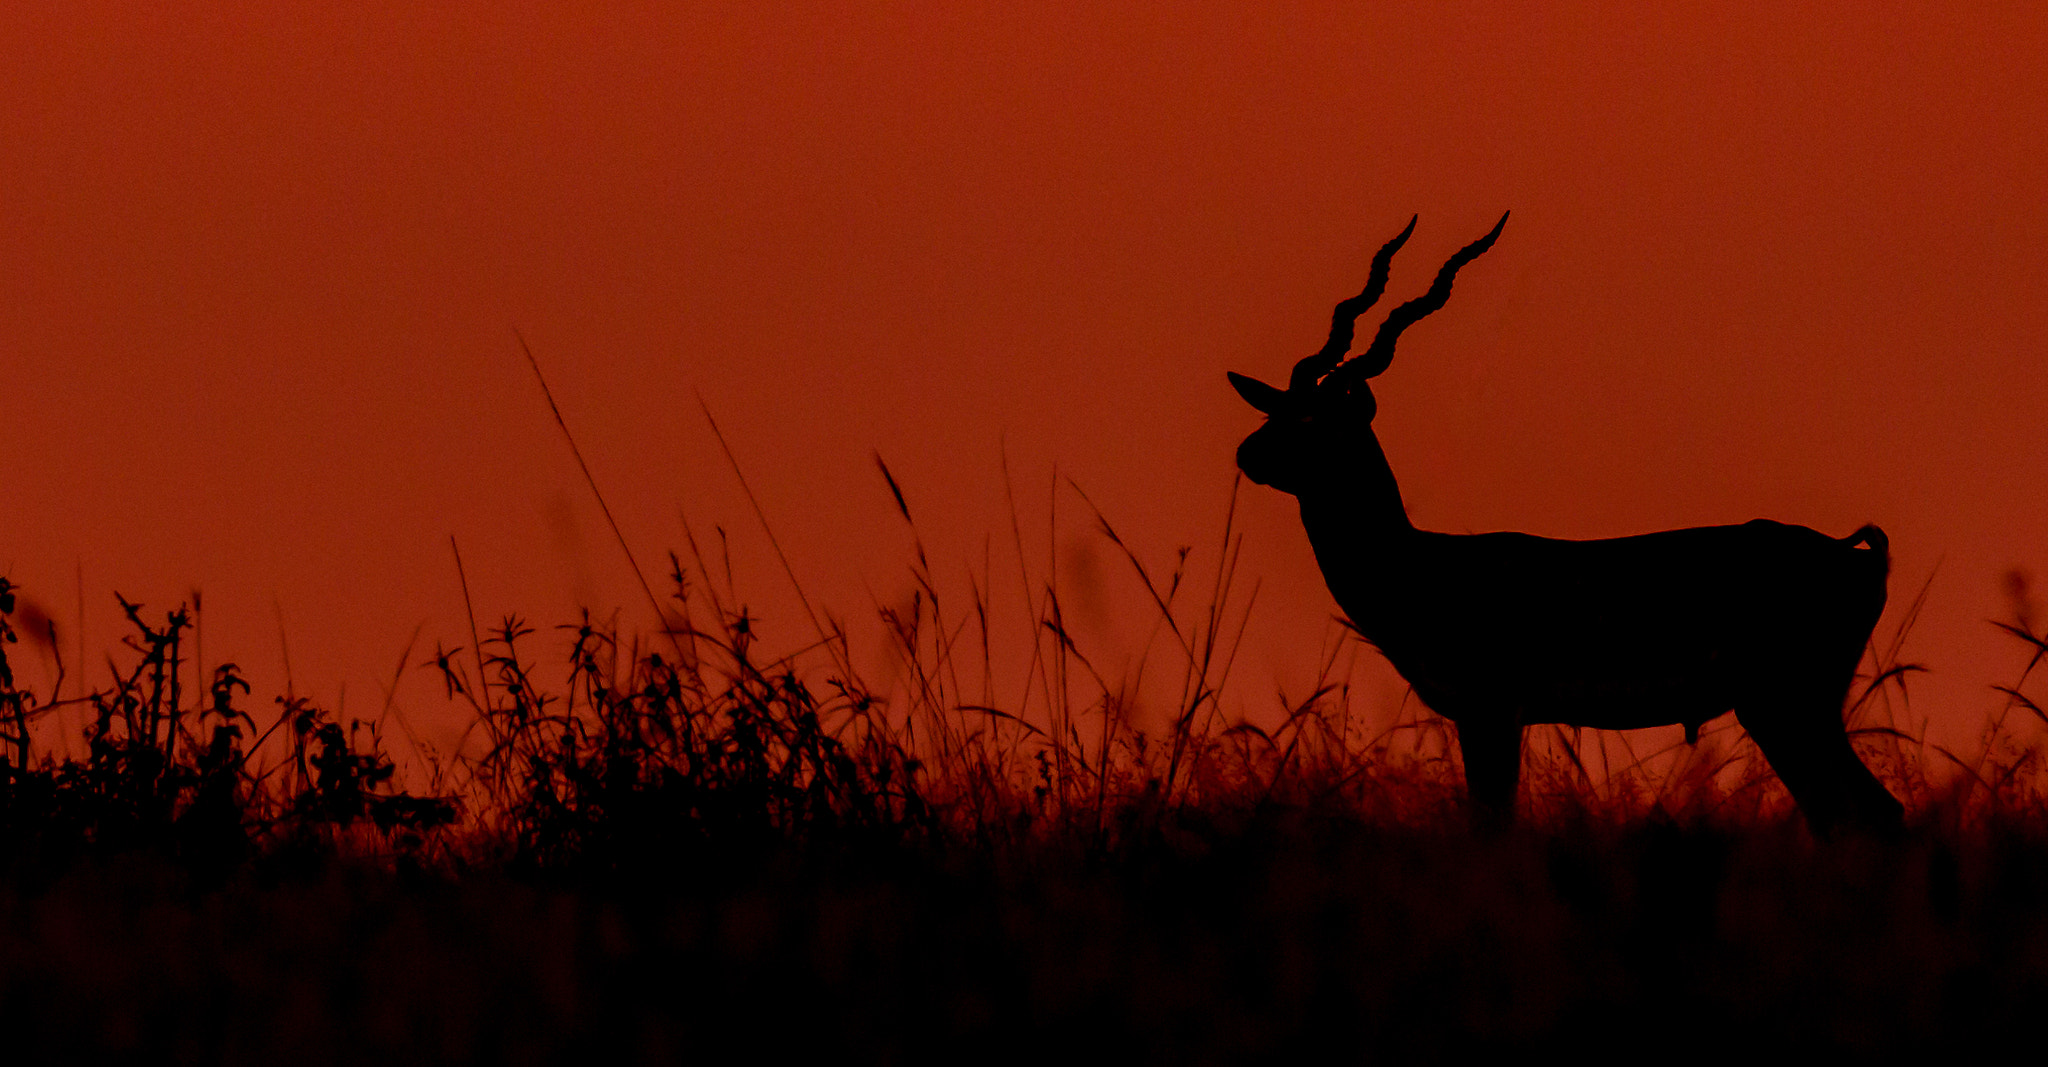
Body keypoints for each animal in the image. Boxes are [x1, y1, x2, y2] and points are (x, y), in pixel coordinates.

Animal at [1227, 213, 1904, 838]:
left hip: (1787, 706)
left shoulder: (1492, 711)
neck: (1423, 568)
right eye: (1278, 407)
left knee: (1871, 812)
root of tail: (1858, 555)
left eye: (1318, 419)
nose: (1247, 454)